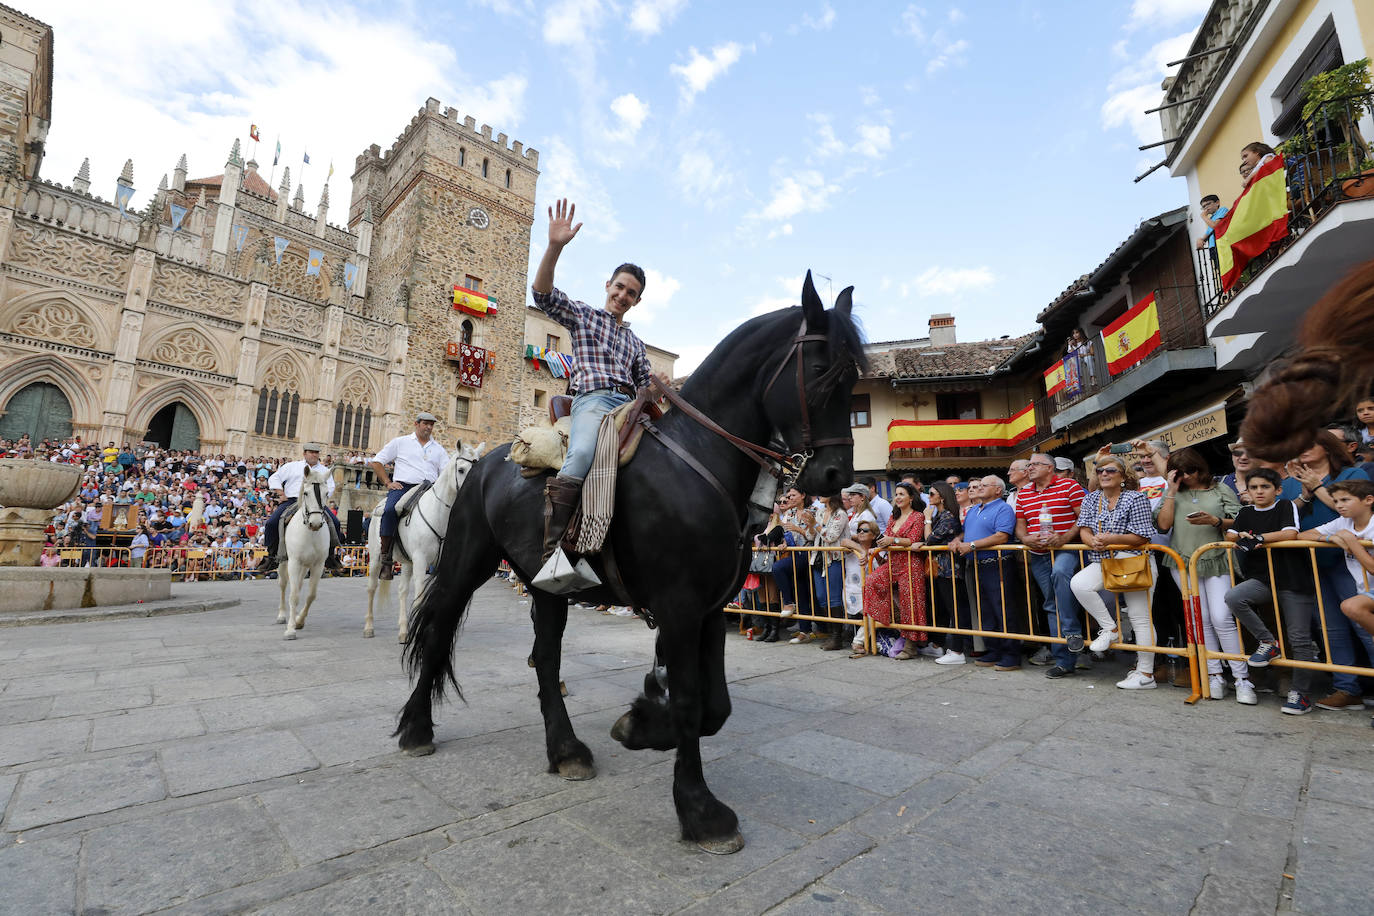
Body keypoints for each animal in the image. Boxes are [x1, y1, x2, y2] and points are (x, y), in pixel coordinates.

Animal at [276, 466, 335, 637]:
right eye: (306, 493)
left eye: (326, 493)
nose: (315, 523)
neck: (310, 534)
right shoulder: (294, 562)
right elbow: (293, 595)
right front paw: (290, 629)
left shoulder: (318, 565)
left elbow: (311, 595)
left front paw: (299, 621)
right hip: (285, 562)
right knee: (283, 584)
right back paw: (282, 615)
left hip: (304, 566)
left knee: (299, 585)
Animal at [368, 439, 486, 642]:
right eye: (461, 469)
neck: (439, 514)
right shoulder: (421, 561)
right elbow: (420, 598)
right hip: (377, 558)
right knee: (372, 588)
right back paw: (369, 627)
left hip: (407, 563)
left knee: (402, 591)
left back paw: (403, 631)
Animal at [398, 270, 862, 851]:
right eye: (821, 371)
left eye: (855, 379)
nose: (835, 476)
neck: (700, 458)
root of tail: (484, 464)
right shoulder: (680, 607)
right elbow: (689, 702)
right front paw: (700, 810)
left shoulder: (710, 609)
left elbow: (715, 706)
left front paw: (641, 723)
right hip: (465, 564)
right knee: (439, 631)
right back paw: (417, 728)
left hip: (547, 588)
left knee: (546, 660)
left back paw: (565, 750)